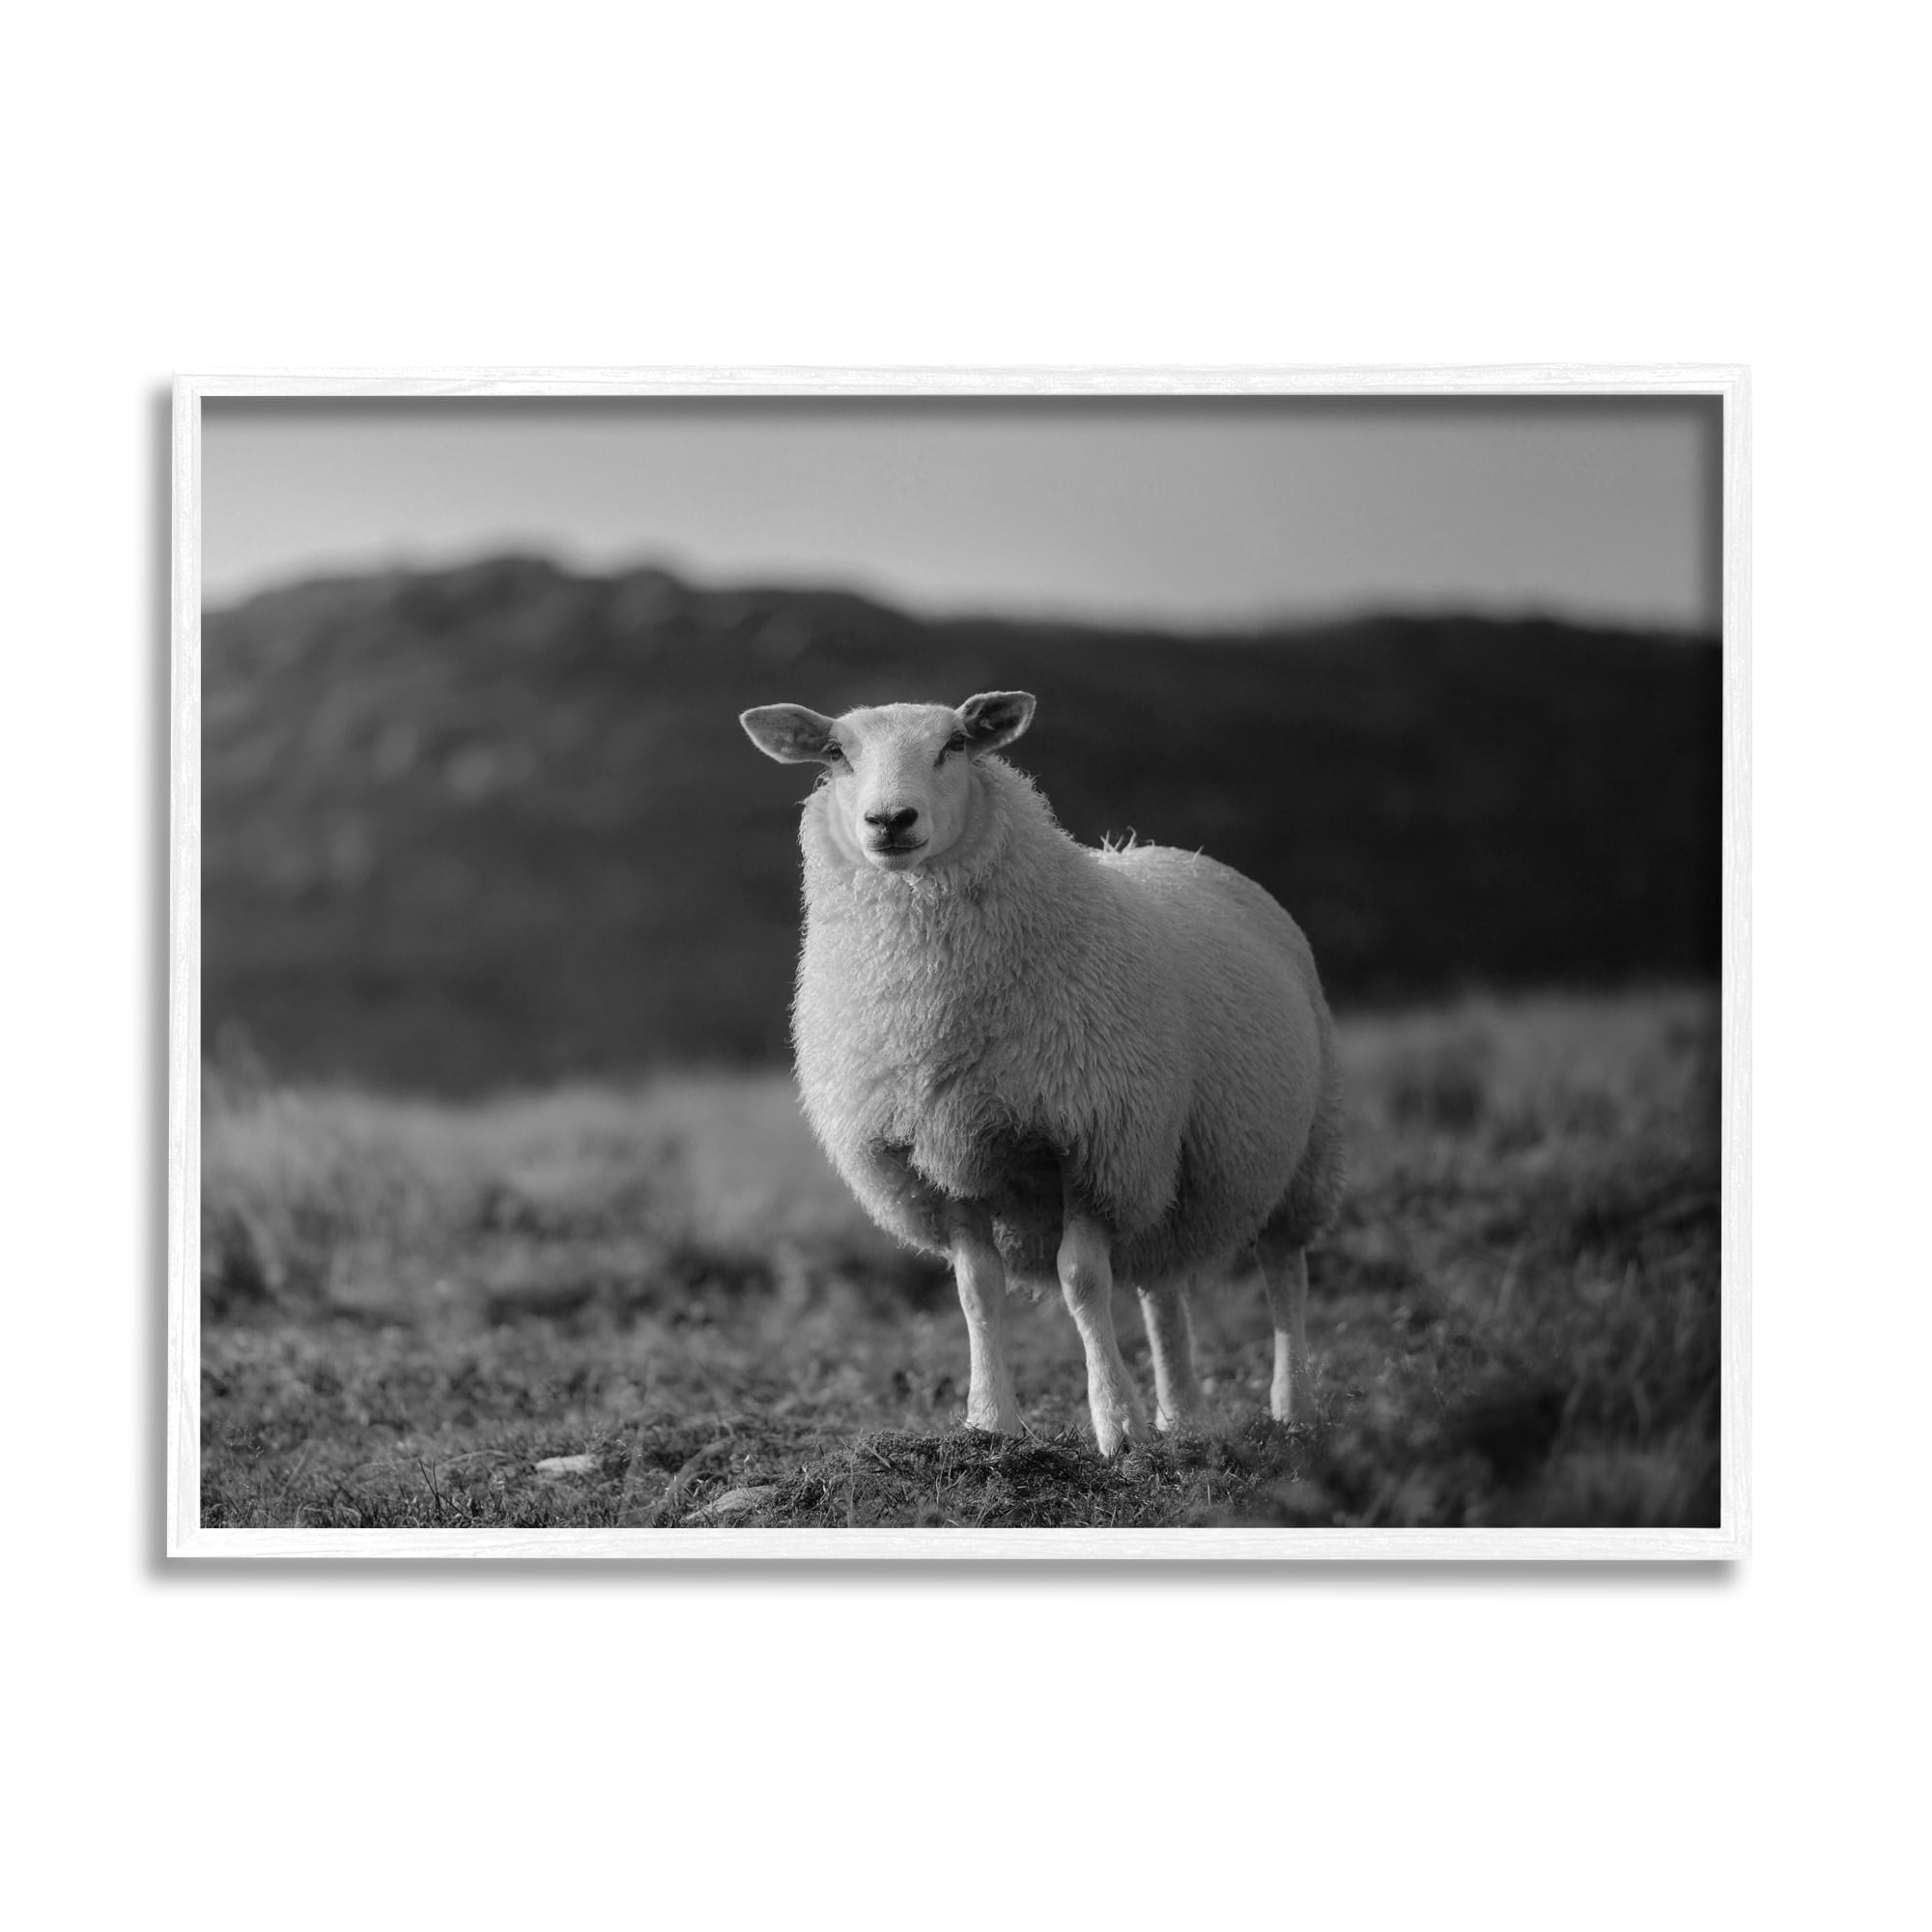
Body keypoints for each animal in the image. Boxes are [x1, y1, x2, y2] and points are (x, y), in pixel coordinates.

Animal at [739, 690, 1345, 1455]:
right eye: (834, 753)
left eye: (955, 746)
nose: (891, 821)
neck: (929, 1008)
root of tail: (1182, 855)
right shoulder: (940, 1155)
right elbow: (977, 1290)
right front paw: (989, 1422)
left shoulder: (1092, 1142)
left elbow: (1082, 1282)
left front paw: (1117, 1426)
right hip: (1161, 1162)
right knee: (1161, 1285)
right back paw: (1181, 1416)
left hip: (1301, 1149)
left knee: (1284, 1269)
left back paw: (1292, 1407)